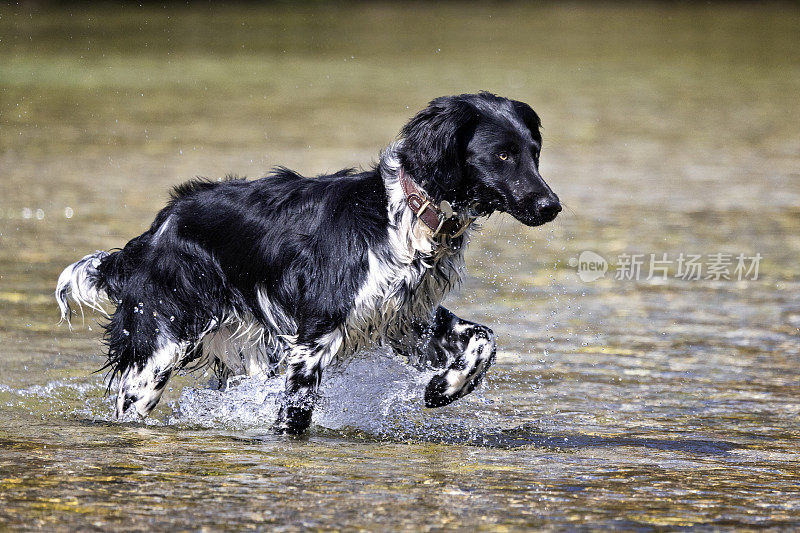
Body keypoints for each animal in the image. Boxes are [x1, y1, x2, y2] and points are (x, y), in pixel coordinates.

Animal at [54, 91, 564, 432]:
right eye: (503, 154)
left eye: (535, 153)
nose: (551, 206)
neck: (403, 217)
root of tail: (155, 230)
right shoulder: (314, 337)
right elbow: (295, 417)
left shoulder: (405, 318)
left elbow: (484, 339)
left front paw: (444, 388)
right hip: (157, 352)